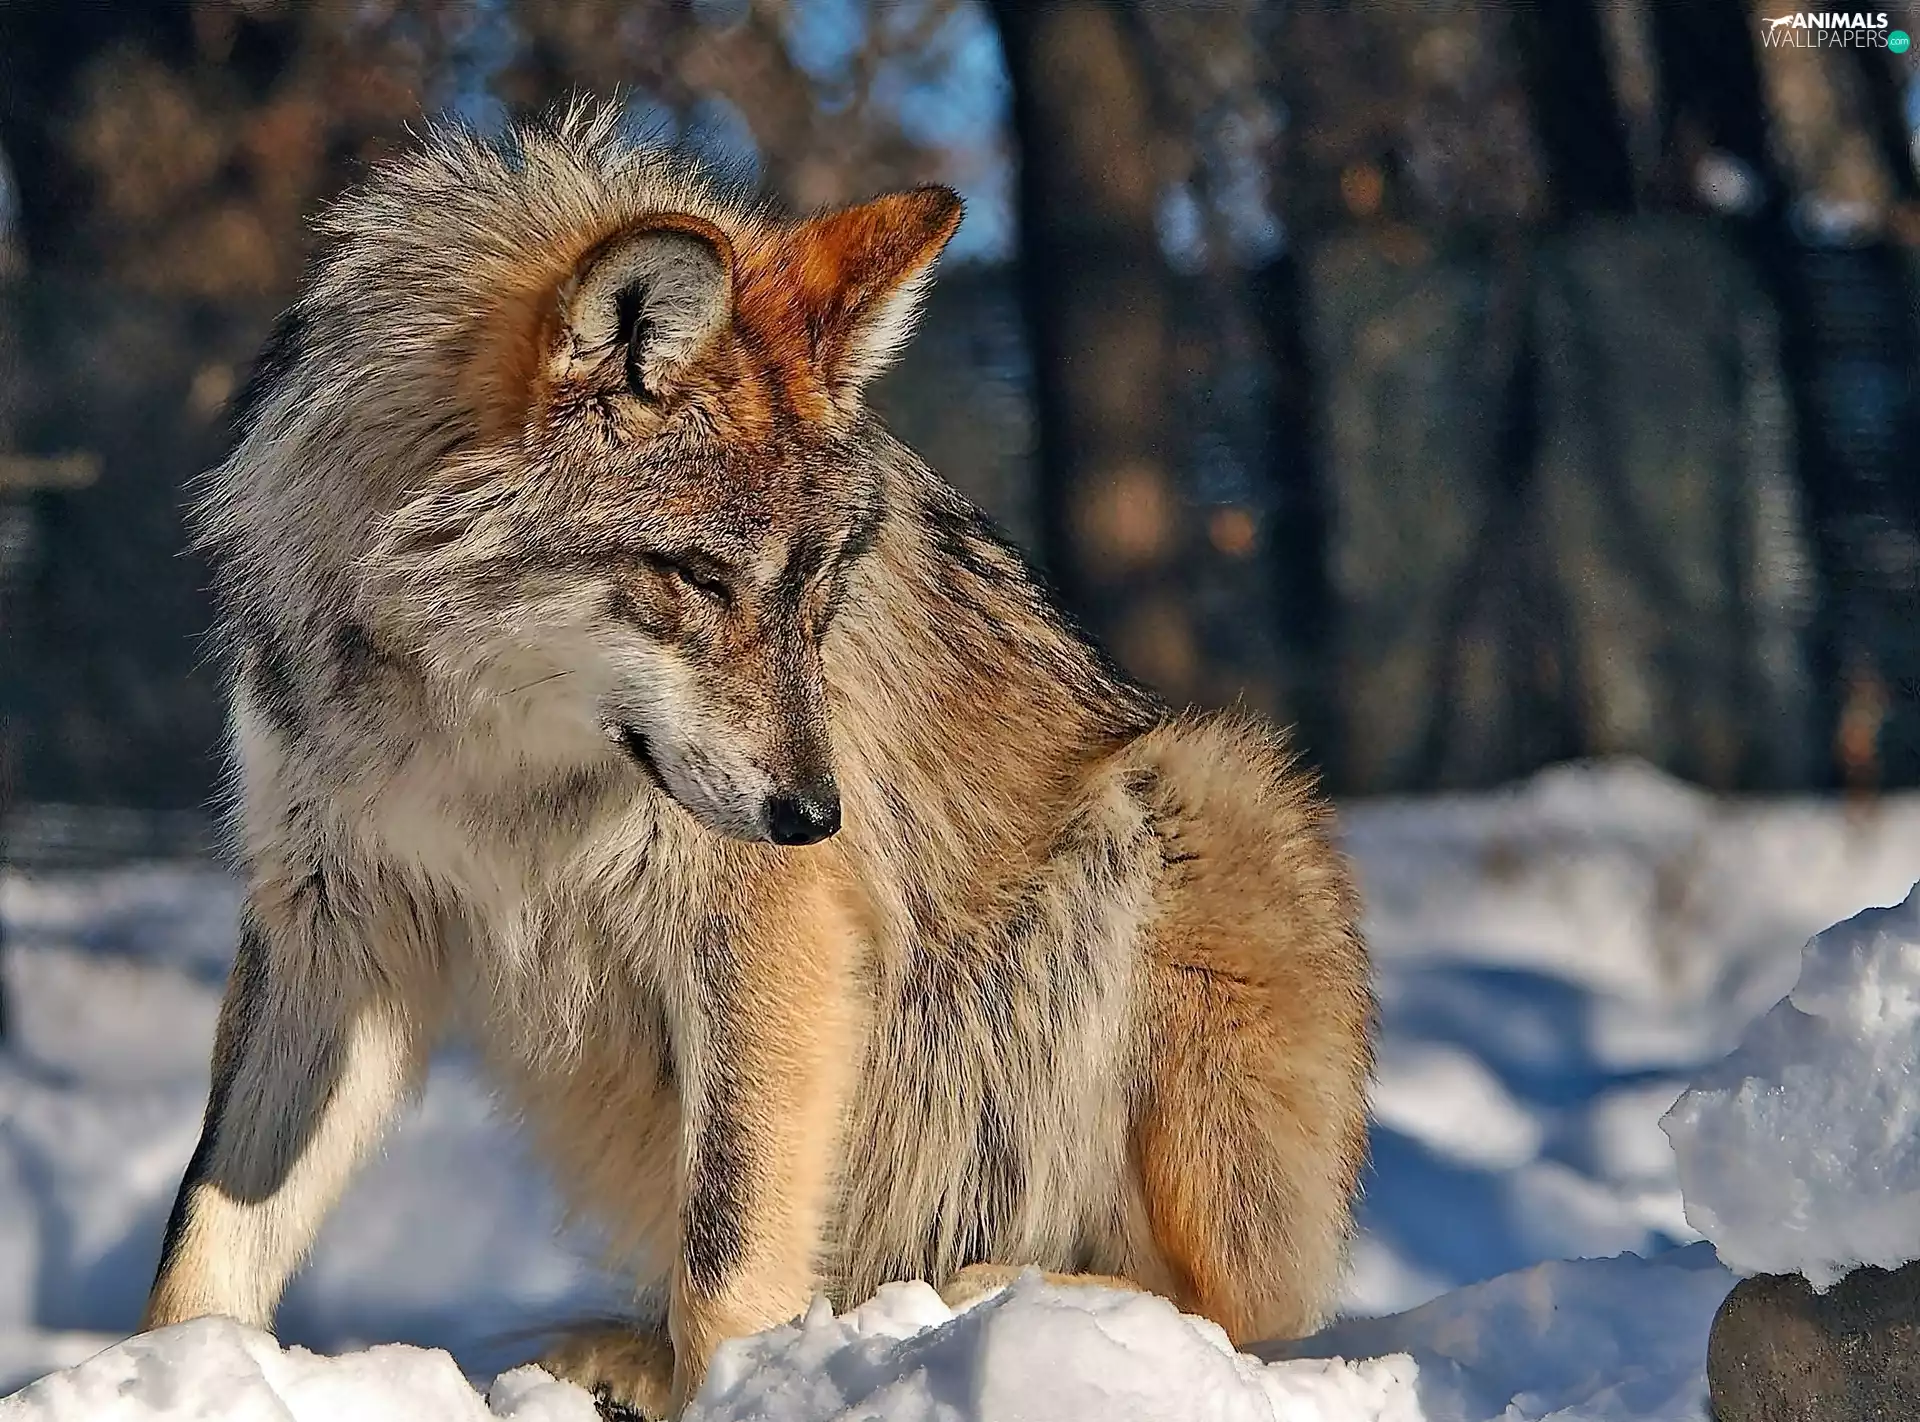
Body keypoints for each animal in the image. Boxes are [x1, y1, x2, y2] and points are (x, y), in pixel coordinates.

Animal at [141, 104, 1374, 1418]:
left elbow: (729, 1249)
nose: (815, 817)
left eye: (819, 585)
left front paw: (745, 1385)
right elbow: (206, 1230)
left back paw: (990, 1298)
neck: (485, 746)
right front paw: (167, 1371)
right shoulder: (330, 918)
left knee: (1231, 1312)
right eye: (696, 577)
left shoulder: (764, 929)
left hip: (1198, 793)